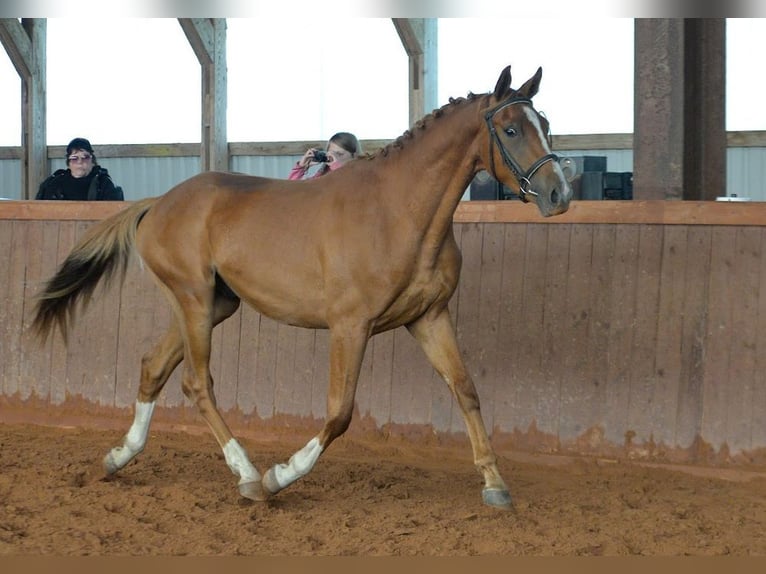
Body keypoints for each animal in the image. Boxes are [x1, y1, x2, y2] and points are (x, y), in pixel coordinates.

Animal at [33, 65, 572, 510]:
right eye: (510, 129)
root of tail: (158, 204)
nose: (558, 194)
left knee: (153, 367)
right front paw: (278, 477)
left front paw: (495, 485)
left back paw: (118, 458)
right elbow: (339, 414)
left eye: (544, 123)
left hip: (213, 305)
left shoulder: (428, 318)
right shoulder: (350, 326)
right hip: (193, 300)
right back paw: (248, 475)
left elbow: (466, 391)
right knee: (196, 382)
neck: (398, 211)